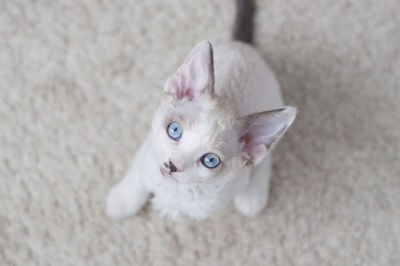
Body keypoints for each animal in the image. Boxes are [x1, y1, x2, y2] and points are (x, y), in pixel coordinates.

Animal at [106, 41, 296, 220]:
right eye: (174, 130)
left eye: (210, 160)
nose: (173, 165)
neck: (174, 190)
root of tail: (242, 46)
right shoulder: (150, 147)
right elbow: (137, 177)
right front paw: (119, 202)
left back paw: (253, 197)